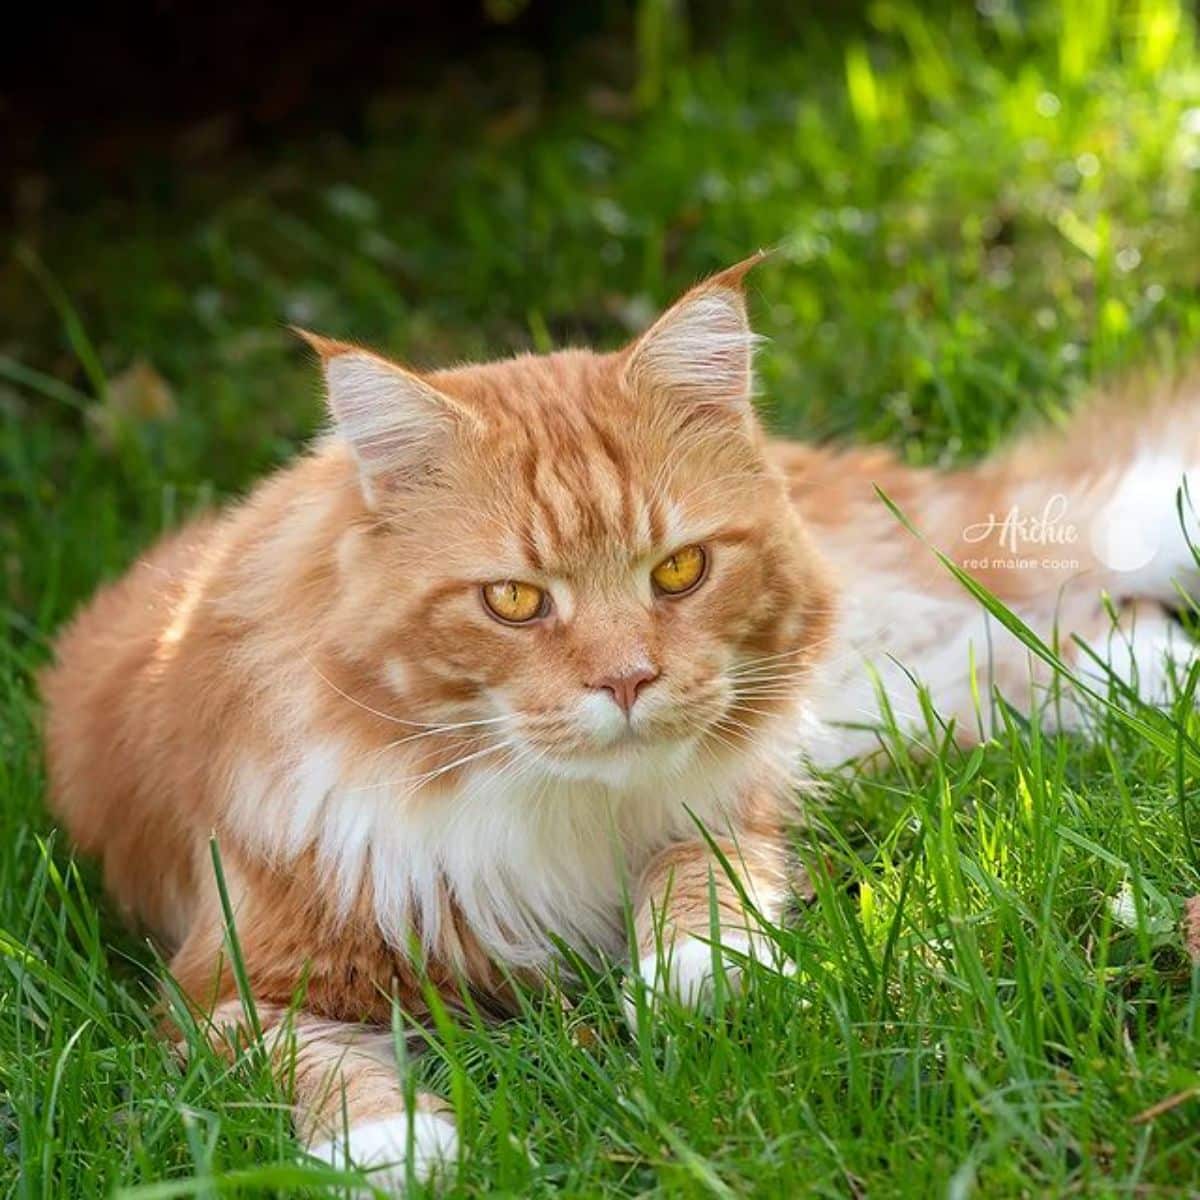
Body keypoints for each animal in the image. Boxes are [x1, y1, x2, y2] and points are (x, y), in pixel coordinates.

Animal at [37, 255, 1200, 1190]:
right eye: (514, 601)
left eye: (678, 571)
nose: (630, 680)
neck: (537, 802)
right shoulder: (223, 989)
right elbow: (311, 1066)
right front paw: (394, 1149)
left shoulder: (731, 805)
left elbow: (694, 885)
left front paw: (704, 984)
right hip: (904, 700)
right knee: (1058, 637)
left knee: (1084, 592)